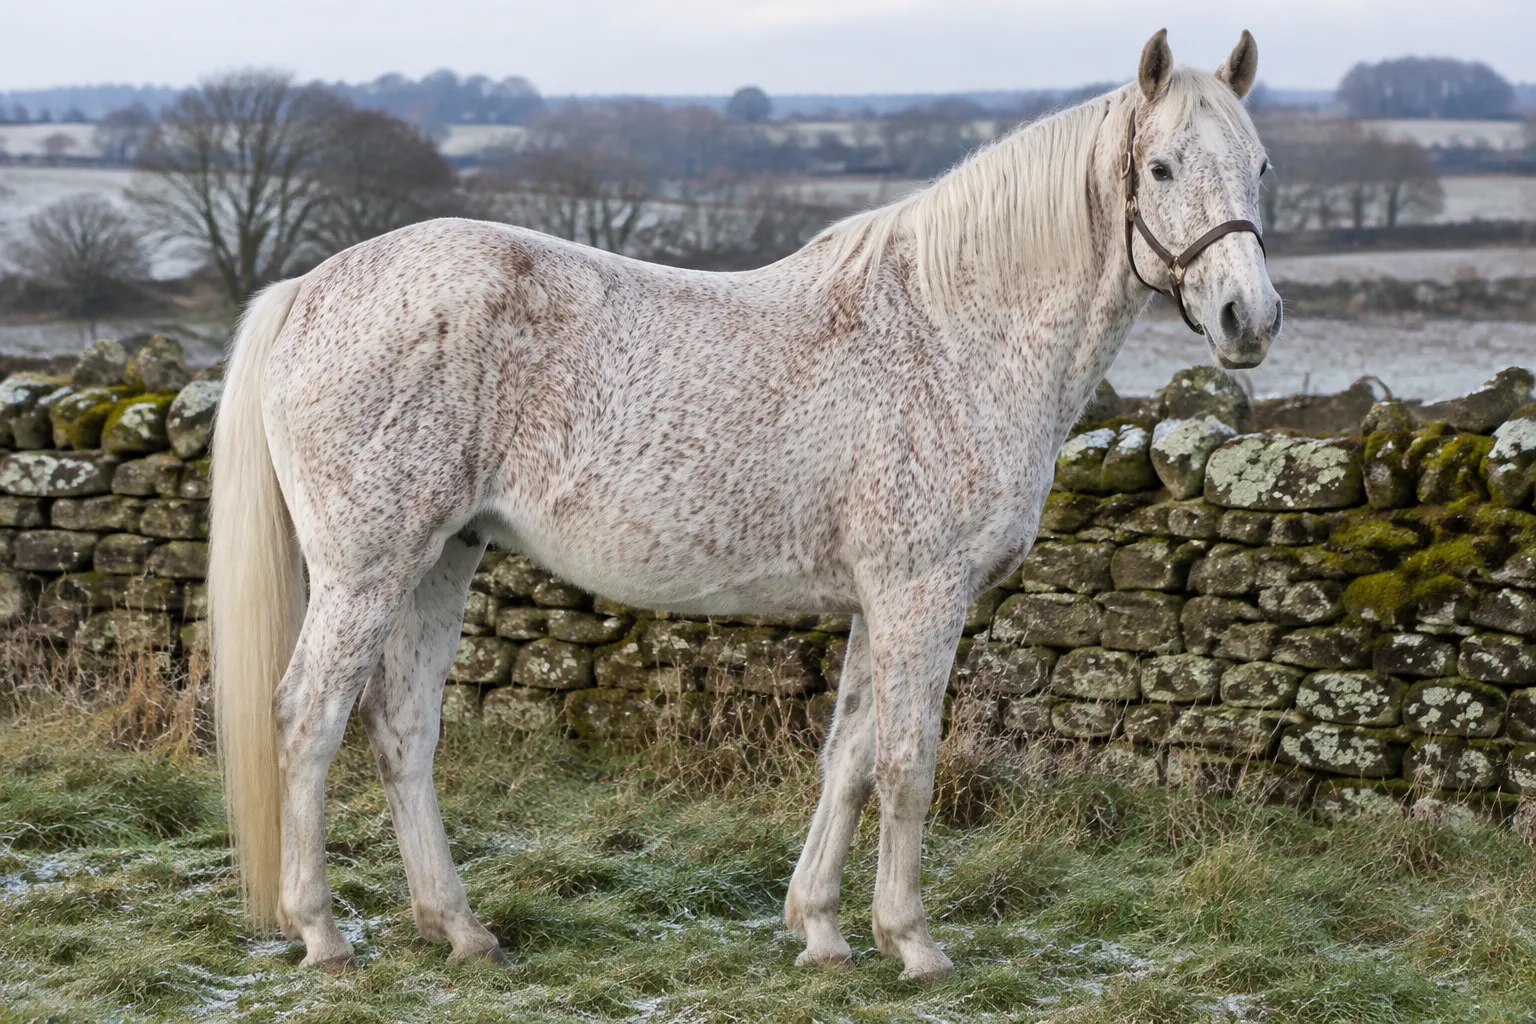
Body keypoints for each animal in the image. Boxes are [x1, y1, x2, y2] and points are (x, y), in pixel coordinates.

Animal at [210, 28, 1278, 981]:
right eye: (1161, 167)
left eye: (1261, 166)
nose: (1250, 320)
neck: (950, 331)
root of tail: (308, 289)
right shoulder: (921, 595)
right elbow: (908, 764)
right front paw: (916, 945)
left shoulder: (876, 602)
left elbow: (848, 759)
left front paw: (824, 931)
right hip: (365, 569)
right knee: (308, 719)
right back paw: (323, 934)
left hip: (443, 556)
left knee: (403, 731)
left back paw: (460, 931)